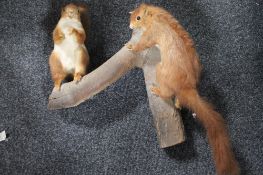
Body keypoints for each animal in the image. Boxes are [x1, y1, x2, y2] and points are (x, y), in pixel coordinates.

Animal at [127, 4, 240, 175]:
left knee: (168, 92)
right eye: (131, 15)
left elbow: (143, 44)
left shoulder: (151, 33)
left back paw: (157, 91)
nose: (130, 26)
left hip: (161, 72)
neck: (155, 15)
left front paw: (131, 46)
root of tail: (187, 86)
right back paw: (178, 103)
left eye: (138, 17)